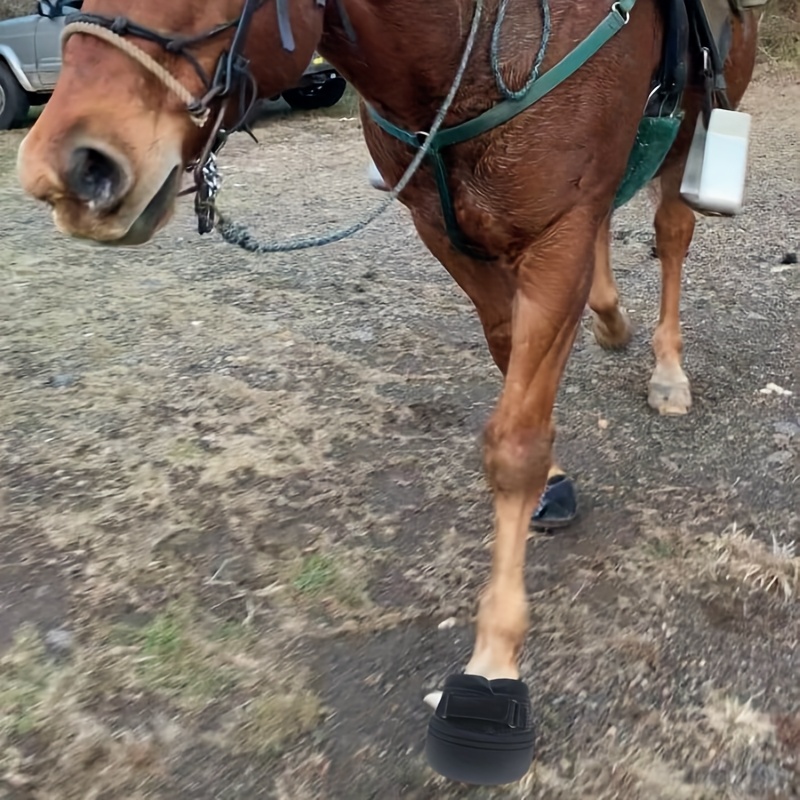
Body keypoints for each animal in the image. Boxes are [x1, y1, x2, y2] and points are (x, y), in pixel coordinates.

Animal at [16, 0, 762, 786]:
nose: (71, 167)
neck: (476, 48)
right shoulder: (447, 232)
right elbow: (511, 359)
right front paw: (556, 475)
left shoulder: (556, 236)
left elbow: (515, 446)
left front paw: (493, 664)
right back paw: (612, 320)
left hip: (696, 127)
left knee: (672, 229)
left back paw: (667, 369)